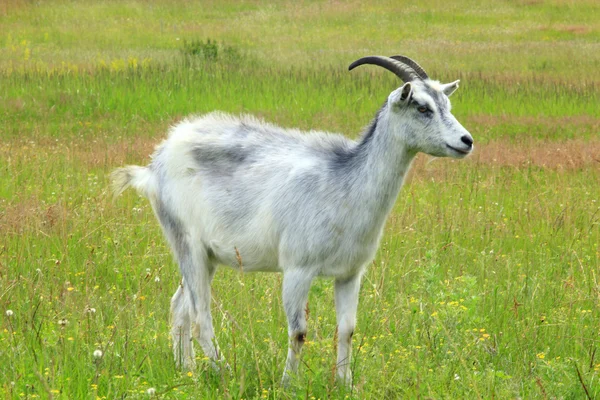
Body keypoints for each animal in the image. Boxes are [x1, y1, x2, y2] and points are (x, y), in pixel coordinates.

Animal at [111, 54, 474, 386]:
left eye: (447, 103)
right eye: (422, 107)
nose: (467, 141)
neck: (344, 182)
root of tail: (155, 163)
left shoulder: (350, 274)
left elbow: (347, 330)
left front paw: (345, 384)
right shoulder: (298, 269)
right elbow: (298, 331)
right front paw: (289, 383)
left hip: (206, 256)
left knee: (180, 307)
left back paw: (187, 372)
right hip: (187, 244)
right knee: (201, 318)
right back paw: (223, 373)